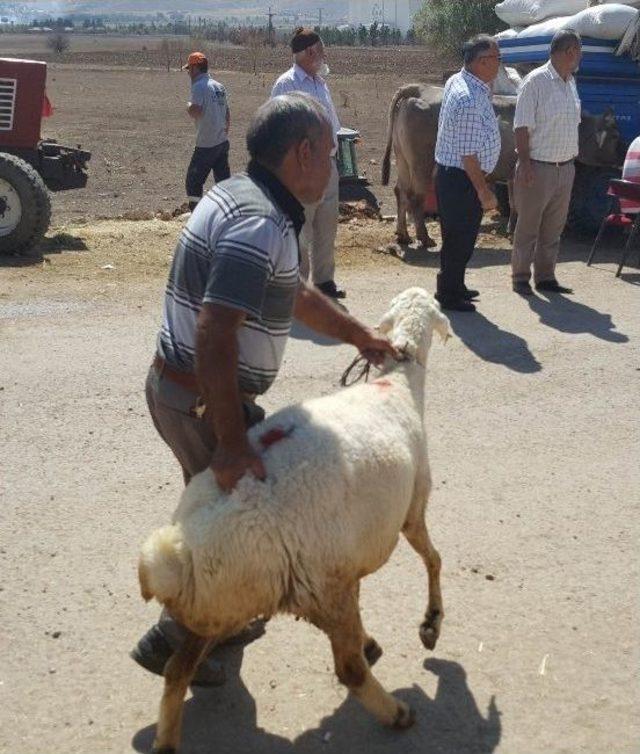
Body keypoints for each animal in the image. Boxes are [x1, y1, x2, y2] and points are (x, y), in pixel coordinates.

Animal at [139, 284, 450, 748]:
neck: (398, 383)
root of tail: (180, 554)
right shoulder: (412, 507)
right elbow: (433, 559)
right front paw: (431, 624)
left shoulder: (347, 557)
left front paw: (380, 635)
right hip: (305, 583)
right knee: (349, 671)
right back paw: (395, 712)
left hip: (225, 605)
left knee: (177, 672)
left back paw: (166, 739)